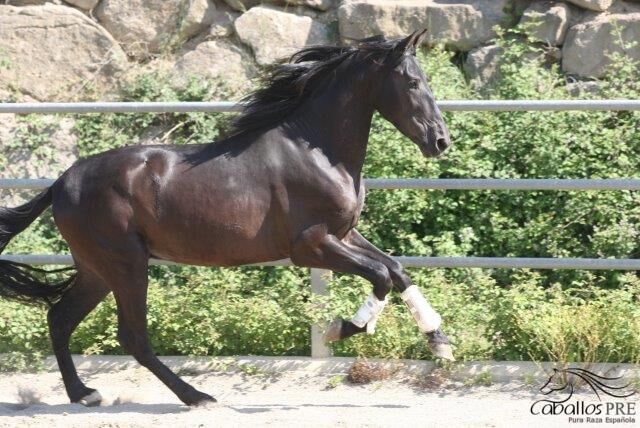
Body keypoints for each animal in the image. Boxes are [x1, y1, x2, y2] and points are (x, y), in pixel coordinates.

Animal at [0, 31, 452, 406]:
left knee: (59, 319)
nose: (441, 141)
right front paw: (342, 329)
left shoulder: (344, 234)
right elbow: (380, 275)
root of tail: (61, 182)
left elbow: (396, 269)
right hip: (126, 264)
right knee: (132, 336)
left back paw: (84, 393)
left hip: (97, 269)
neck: (318, 152)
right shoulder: (311, 246)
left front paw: (439, 341)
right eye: (413, 83)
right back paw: (196, 396)